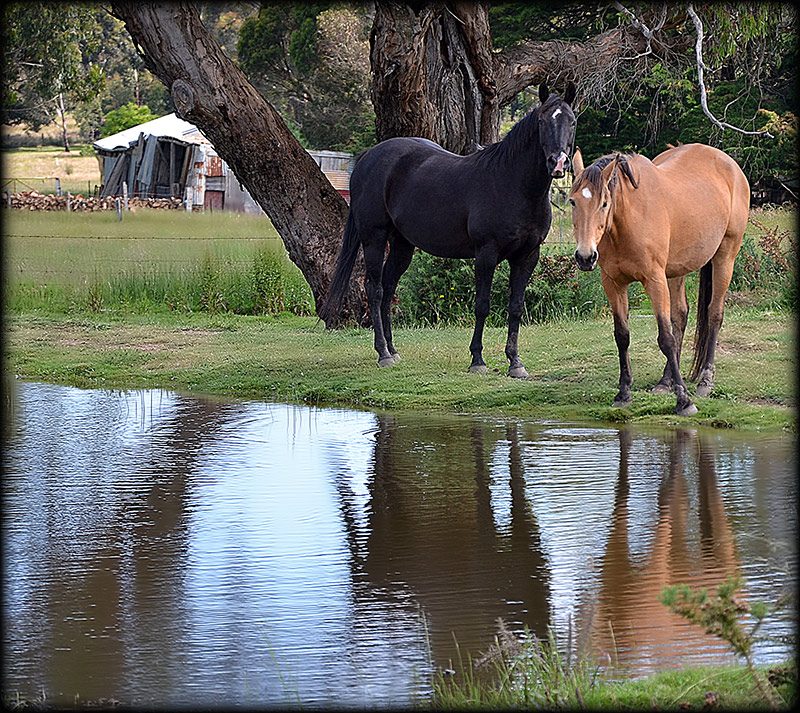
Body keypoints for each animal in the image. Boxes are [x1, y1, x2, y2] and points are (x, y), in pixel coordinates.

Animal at [322, 82, 580, 378]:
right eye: (541, 121)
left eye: (572, 121)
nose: (558, 163)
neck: (512, 184)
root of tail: (368, 157)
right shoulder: (486, 254)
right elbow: (482, 306)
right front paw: (477, 359)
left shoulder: (527, 256)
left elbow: (515, 308)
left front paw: (515, 362)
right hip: (374, 238)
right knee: (374, 290)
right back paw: (383, 353)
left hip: (402, 244)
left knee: (388, 288)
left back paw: (393, 349)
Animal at [568, 143, 752, 414]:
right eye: (573, 201)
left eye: (604, 203)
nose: (585, 256)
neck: (626, 221)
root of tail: (729, 164)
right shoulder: (613, 283)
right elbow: (622, 336)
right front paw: (624, 393)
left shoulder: (654, 280)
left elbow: (665, 338)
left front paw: (684, 401)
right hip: (676, 271)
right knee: (680, 316)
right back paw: (666, 381)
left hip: (725, 257)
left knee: (714, 314)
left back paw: (706, 380)